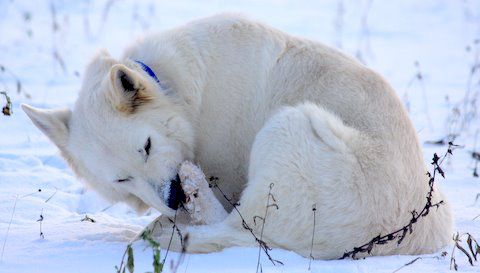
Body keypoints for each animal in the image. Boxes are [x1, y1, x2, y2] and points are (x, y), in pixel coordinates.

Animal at [22, 14, 452, 258]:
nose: (174, 196)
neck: (178, 93)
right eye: (122, 179)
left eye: (146, 146)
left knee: (236, 227)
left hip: (288, 125)